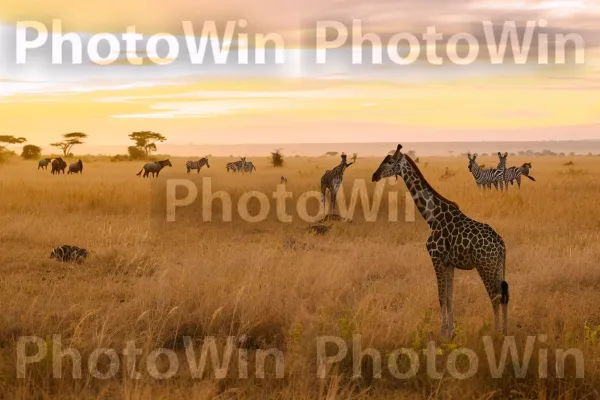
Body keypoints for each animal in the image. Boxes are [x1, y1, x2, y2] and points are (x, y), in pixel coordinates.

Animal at [372, 145, 508, 338]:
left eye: (390, 162)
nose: (374, 175)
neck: (432, 216)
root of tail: (501, 244)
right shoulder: (449, 263)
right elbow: (450, 297)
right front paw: (451, 332)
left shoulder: (436, 258)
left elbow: (441, 297)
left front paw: (442, 333)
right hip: (498, 267)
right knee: (503, 296)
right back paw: (505, 331)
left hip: (485, 266)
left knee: (495, 297)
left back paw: (495, 333)